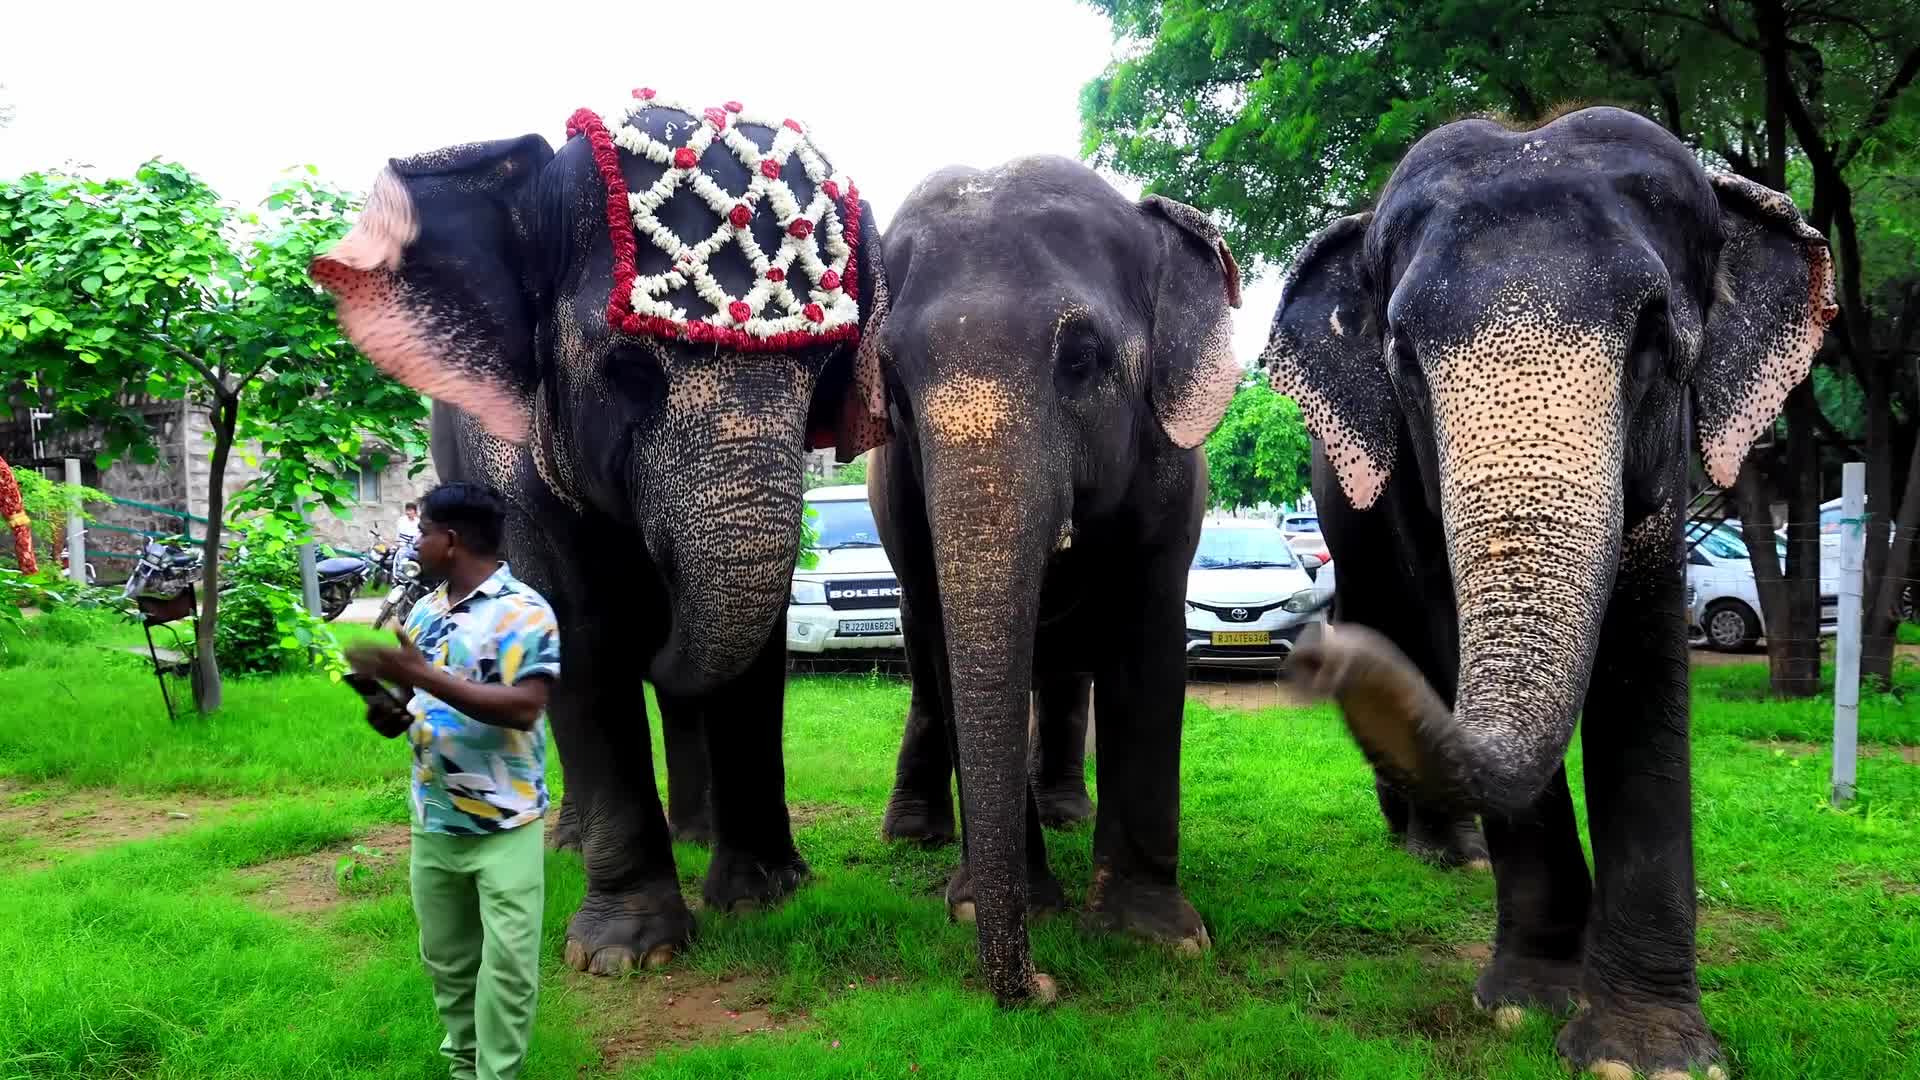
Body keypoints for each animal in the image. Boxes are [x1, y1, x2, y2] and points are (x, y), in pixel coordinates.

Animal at [310, 90, 891, 975]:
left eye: (824, 368)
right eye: (627, 370)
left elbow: (755, 652)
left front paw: (762, 900)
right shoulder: (519, 471)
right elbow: (582, 638)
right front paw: (626, 955)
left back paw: (692, 835)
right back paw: (572, 846)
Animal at [861, 155, 1243, 1004]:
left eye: (1081, 360)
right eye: (893, 384)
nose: (1040, 987)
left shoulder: (1170, 483)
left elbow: (1150, 652)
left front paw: (1160, 937)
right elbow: (950, 653)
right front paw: (983, 906)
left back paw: (1067, 810)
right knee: (928, 676)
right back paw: (912, 833)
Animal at [1269, 106, 1835, 1076]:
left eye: (1654, 336)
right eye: (1402, 357)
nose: (1313, 653)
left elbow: (1645, 662)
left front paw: (1646, 1056)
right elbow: (1446, 628)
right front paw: (1526, 1006)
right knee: (1400, 617)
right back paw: (1438, 850)